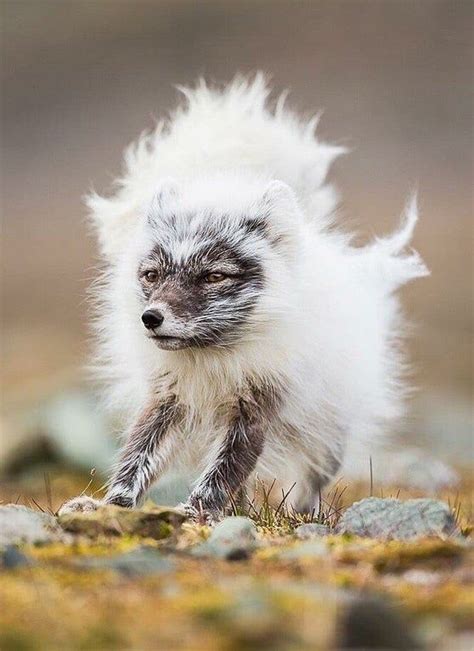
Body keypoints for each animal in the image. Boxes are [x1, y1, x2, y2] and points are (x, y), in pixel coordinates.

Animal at [59, 72, 436, 520]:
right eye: (151, 275)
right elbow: (136, 458)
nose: (151, 318)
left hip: (326, 429)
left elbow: (223, 472)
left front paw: (194, 514)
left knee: (312, 476)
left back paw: (304, 515)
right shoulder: (167, 400)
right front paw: (110, 506)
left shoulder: (255, 409)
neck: (212, 359)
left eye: (214, 276)